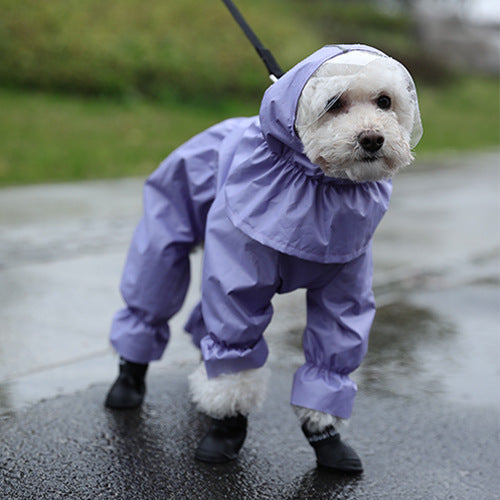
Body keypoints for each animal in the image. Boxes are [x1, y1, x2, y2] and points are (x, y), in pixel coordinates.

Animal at [105, 44, 422, 472]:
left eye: (385, 102)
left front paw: (325, 435)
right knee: (151, 295)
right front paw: (227, 427)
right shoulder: (239, 285)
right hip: (167, 230)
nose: (372, 138)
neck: (319, 189)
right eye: (333, 104)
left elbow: (332, 354)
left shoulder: (346, 292)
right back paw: (128, 382)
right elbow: (236, 354)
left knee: (200, 320)